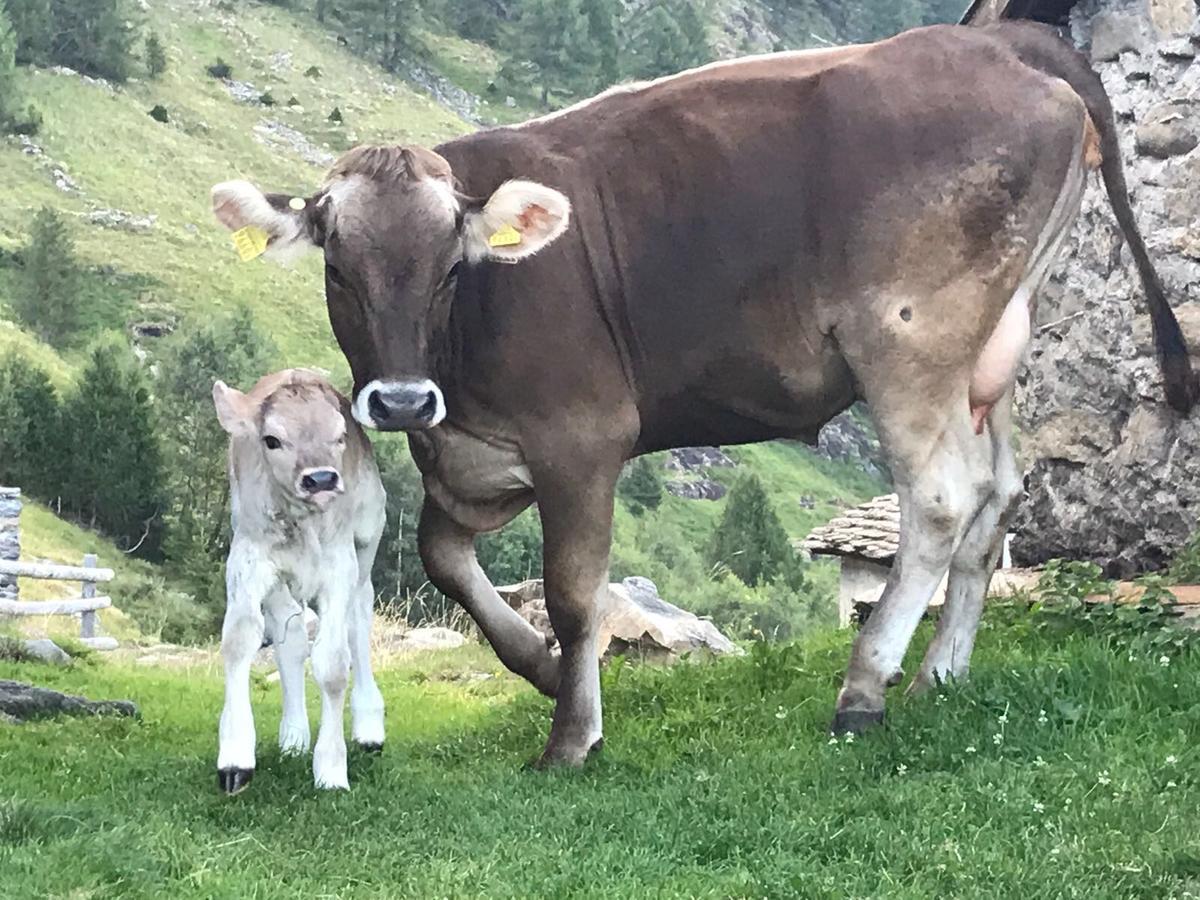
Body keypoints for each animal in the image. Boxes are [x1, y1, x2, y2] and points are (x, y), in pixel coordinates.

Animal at [212, 369, 384, 792]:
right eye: (272, 439)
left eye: (339, 437)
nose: (321, 478)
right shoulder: (248, 559)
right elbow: (240, 640)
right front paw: (235, 757)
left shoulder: (340, 567)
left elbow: (334, 665)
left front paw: (332, 769)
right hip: (280, 583)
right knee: (289, 640)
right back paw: (293, 736)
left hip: (367, 542)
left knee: (359, 622)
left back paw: (369, 727)